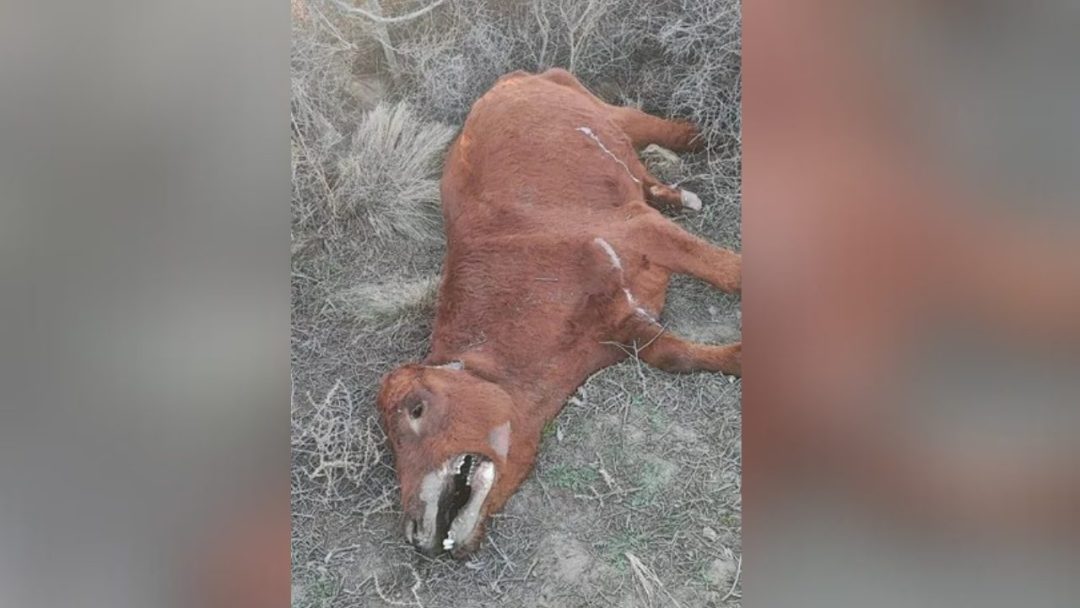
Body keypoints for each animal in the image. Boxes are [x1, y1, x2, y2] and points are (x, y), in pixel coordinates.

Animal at [375, 69, 738, 557]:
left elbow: (731, 273)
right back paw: (675, 194)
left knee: (655, 131)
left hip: (606, 109)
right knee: (639, 175)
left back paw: (701, 143)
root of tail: (510, 79)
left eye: (416, 408)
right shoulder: (627, 327)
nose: (414, 533)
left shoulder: (640, 230)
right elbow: (677, 356)